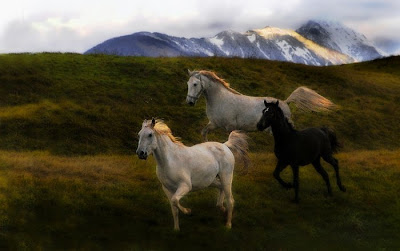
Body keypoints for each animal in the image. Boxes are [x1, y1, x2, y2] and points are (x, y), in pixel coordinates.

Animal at [186, 69, 336, 141]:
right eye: (188, 84)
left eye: (195, 84)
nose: (190, 102)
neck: (220, 99)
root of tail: (285, 102)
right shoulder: (214, 124)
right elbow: (204, 132)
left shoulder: (230, 127)